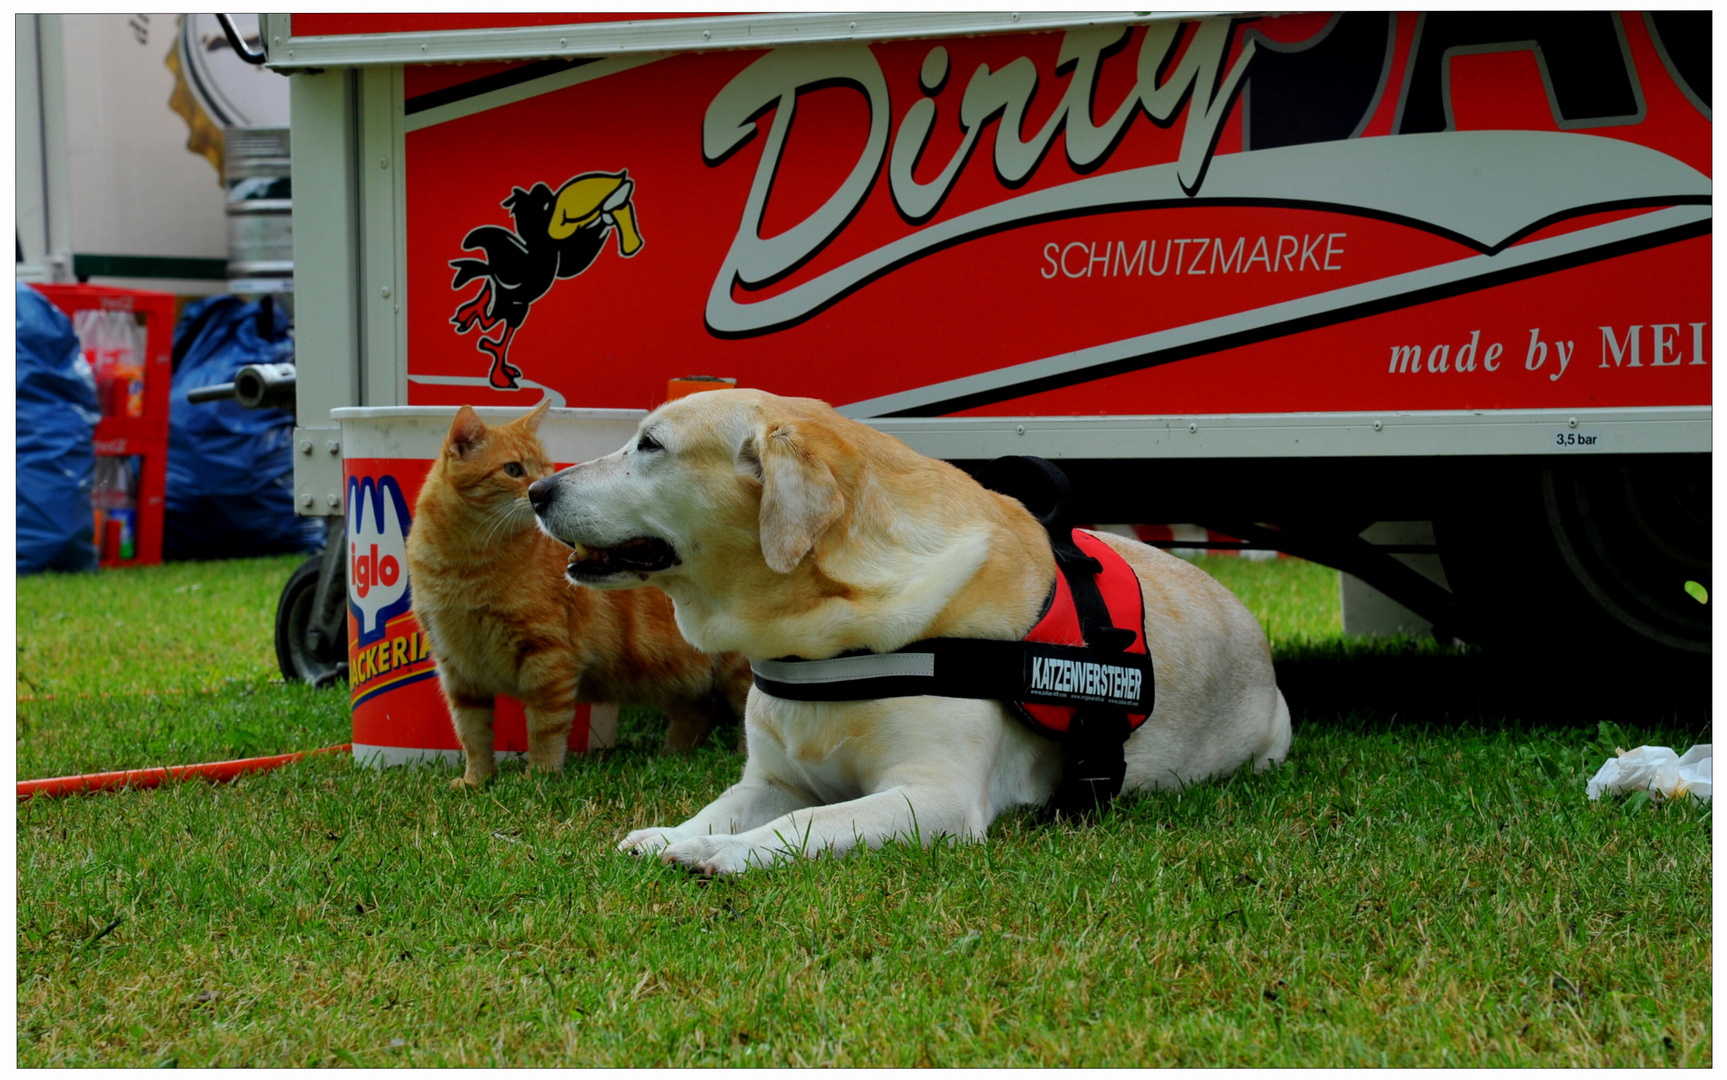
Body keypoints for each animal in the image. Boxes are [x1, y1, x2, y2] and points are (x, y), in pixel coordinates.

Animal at [411, 402, 756, 784]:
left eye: (543, 467)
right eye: (513, 469)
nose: (537, 490)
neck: (466, 567)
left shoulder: (547, 658)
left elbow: (544, 730)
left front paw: (539, 775)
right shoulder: (458, 669)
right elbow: (472, 733)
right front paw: (477, 780)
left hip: (736, 668)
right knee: (697, 711)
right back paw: (674, 756)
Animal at [531, 388, 1291, 877]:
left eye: (651, 445)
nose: (537, 491)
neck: (822, 636)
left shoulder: (934, 797)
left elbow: (808, 823)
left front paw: (723, 854)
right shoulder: (772, 779)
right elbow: (721, 806)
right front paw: (678, 833)